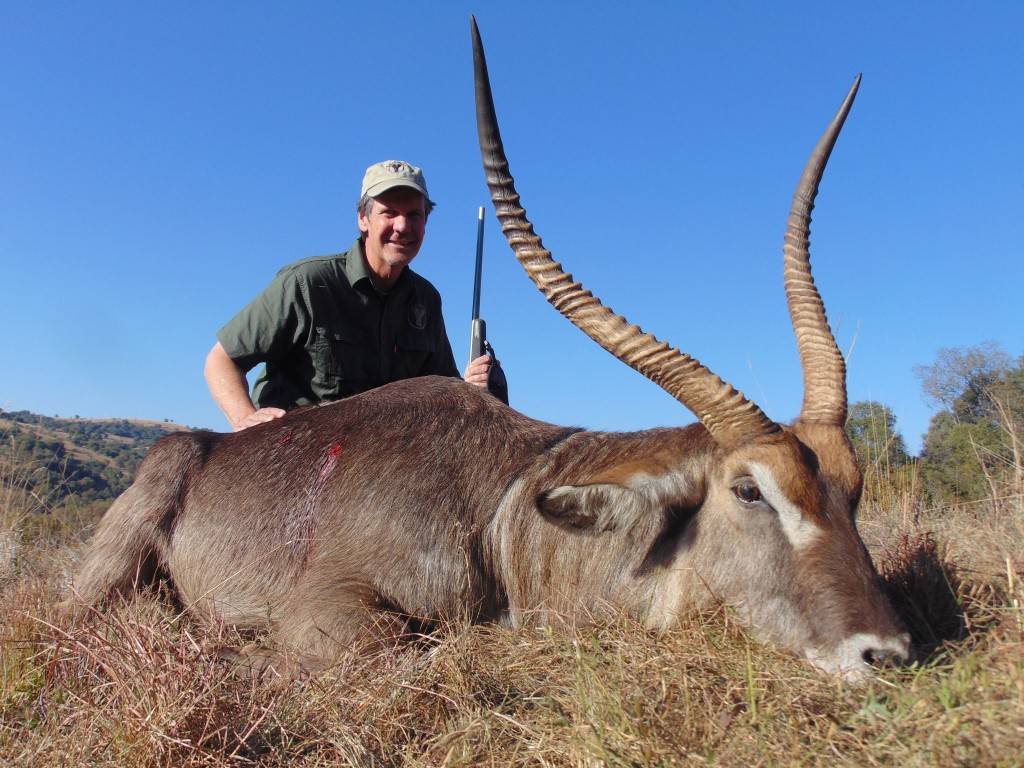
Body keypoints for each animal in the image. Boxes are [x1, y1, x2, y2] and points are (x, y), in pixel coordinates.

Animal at [64, 16, 909, 679]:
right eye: (748, 490)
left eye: (853, 486)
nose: (887, 653)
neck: (503, 502)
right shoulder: (326, 610)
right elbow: (421, 649)